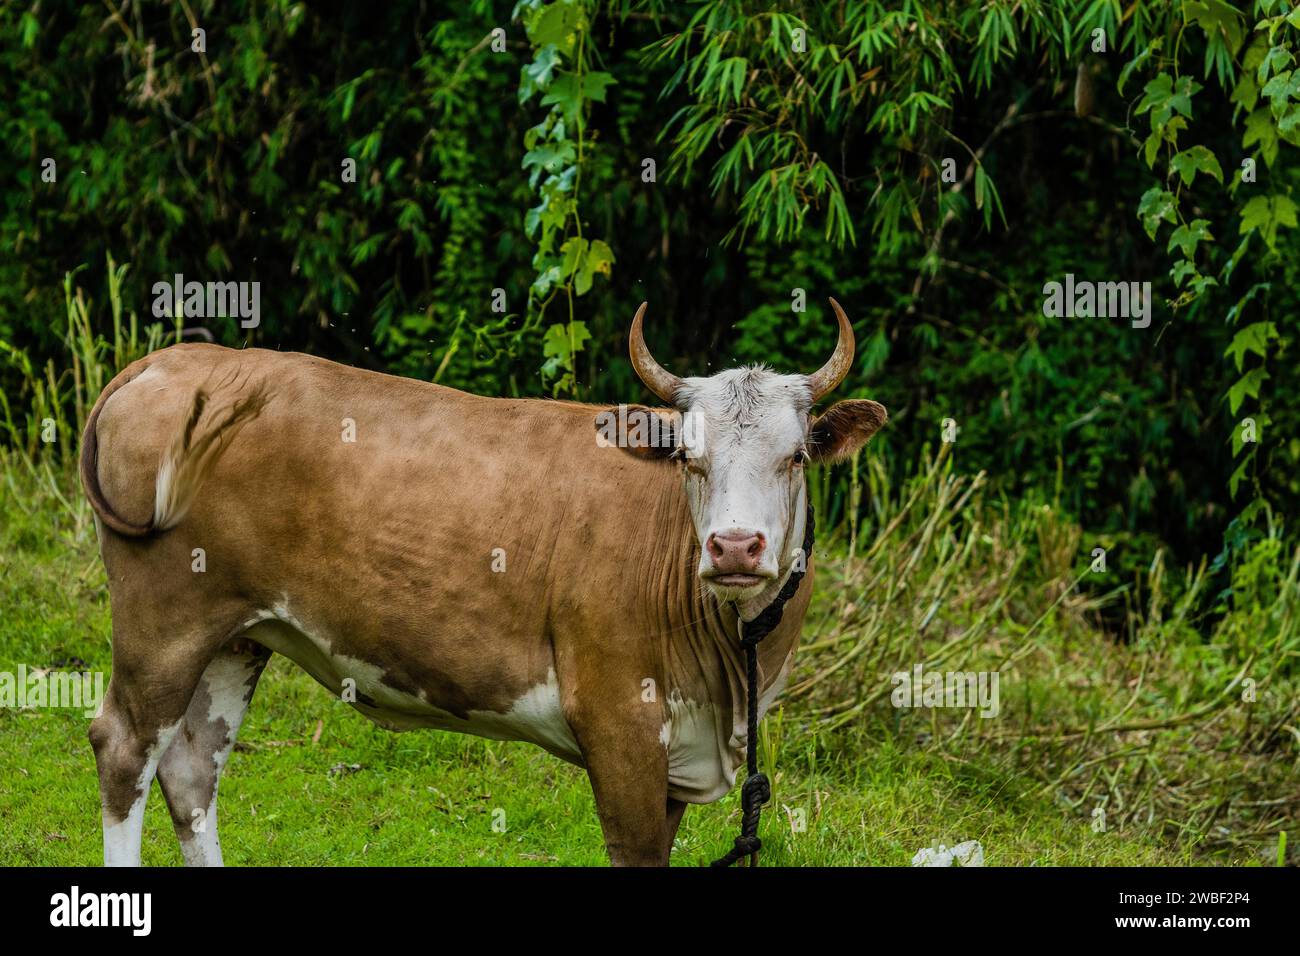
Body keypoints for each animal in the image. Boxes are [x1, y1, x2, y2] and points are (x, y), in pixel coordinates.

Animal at [81, 299, 889, 868]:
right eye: (690, 458)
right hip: (166, 618)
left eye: (796, 456)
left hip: (238, 632)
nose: (735, 547)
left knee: (190, 770)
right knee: (124, 747)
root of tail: (175, 362)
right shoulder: (621, 724)